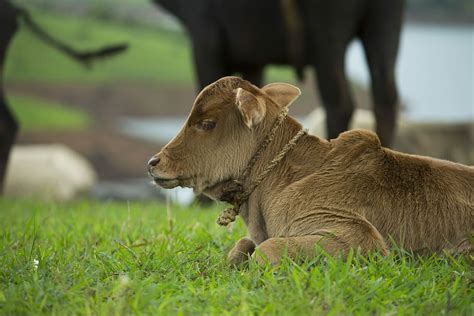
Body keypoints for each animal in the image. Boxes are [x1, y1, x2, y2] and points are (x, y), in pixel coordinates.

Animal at [152, 0, 404, 146]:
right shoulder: (252, 58)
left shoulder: (205, 38)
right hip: (384, 23)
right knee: (386, 98)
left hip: (327, 34)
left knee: (340, 102)